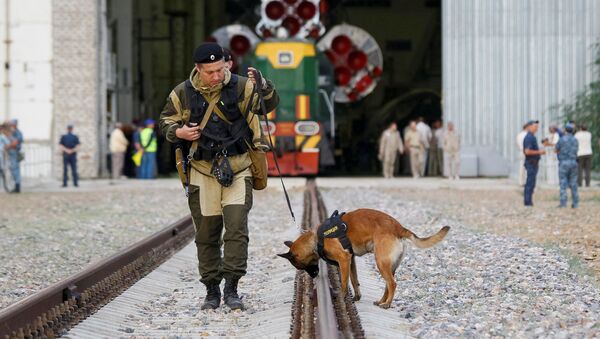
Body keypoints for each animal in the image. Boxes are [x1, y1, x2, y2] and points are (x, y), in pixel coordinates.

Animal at [276, 209, 450, 310]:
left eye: (299, 266)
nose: (313, 276)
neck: (316, 238)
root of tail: (399, 228)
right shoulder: (350, 260)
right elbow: (354, 280)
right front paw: (356, 296)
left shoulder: (344, 260)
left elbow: (344, 283)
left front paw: (342, 298)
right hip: (389, 265)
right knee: (388, 284)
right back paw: (381, 301)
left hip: (381, 262)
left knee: (392, 284)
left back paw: (387, 303)